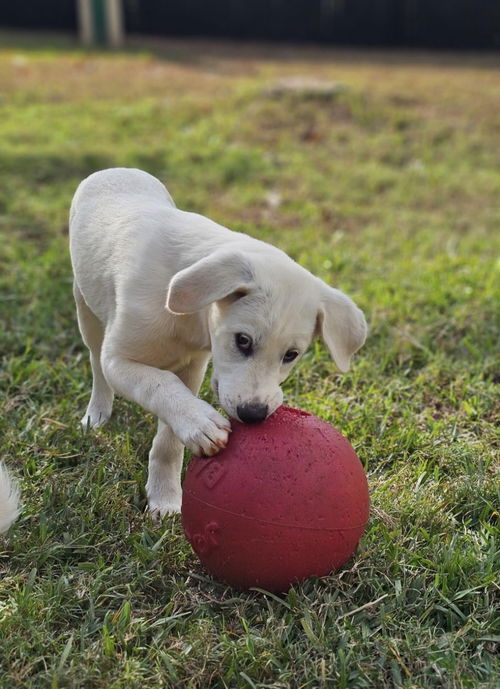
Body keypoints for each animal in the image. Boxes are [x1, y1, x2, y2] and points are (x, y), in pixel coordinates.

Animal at [68, 169, 368, 520]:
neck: (187, 318)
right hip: (85, 310)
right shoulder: (118, 360)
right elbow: (159, 382)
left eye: (291, 355)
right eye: (243, 341)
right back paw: (97, 414)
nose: (253, 415)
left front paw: (165, 498)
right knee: (95, 364)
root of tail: (116, 170)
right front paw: (201, 422)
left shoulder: (193, 366)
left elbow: (168, 440)